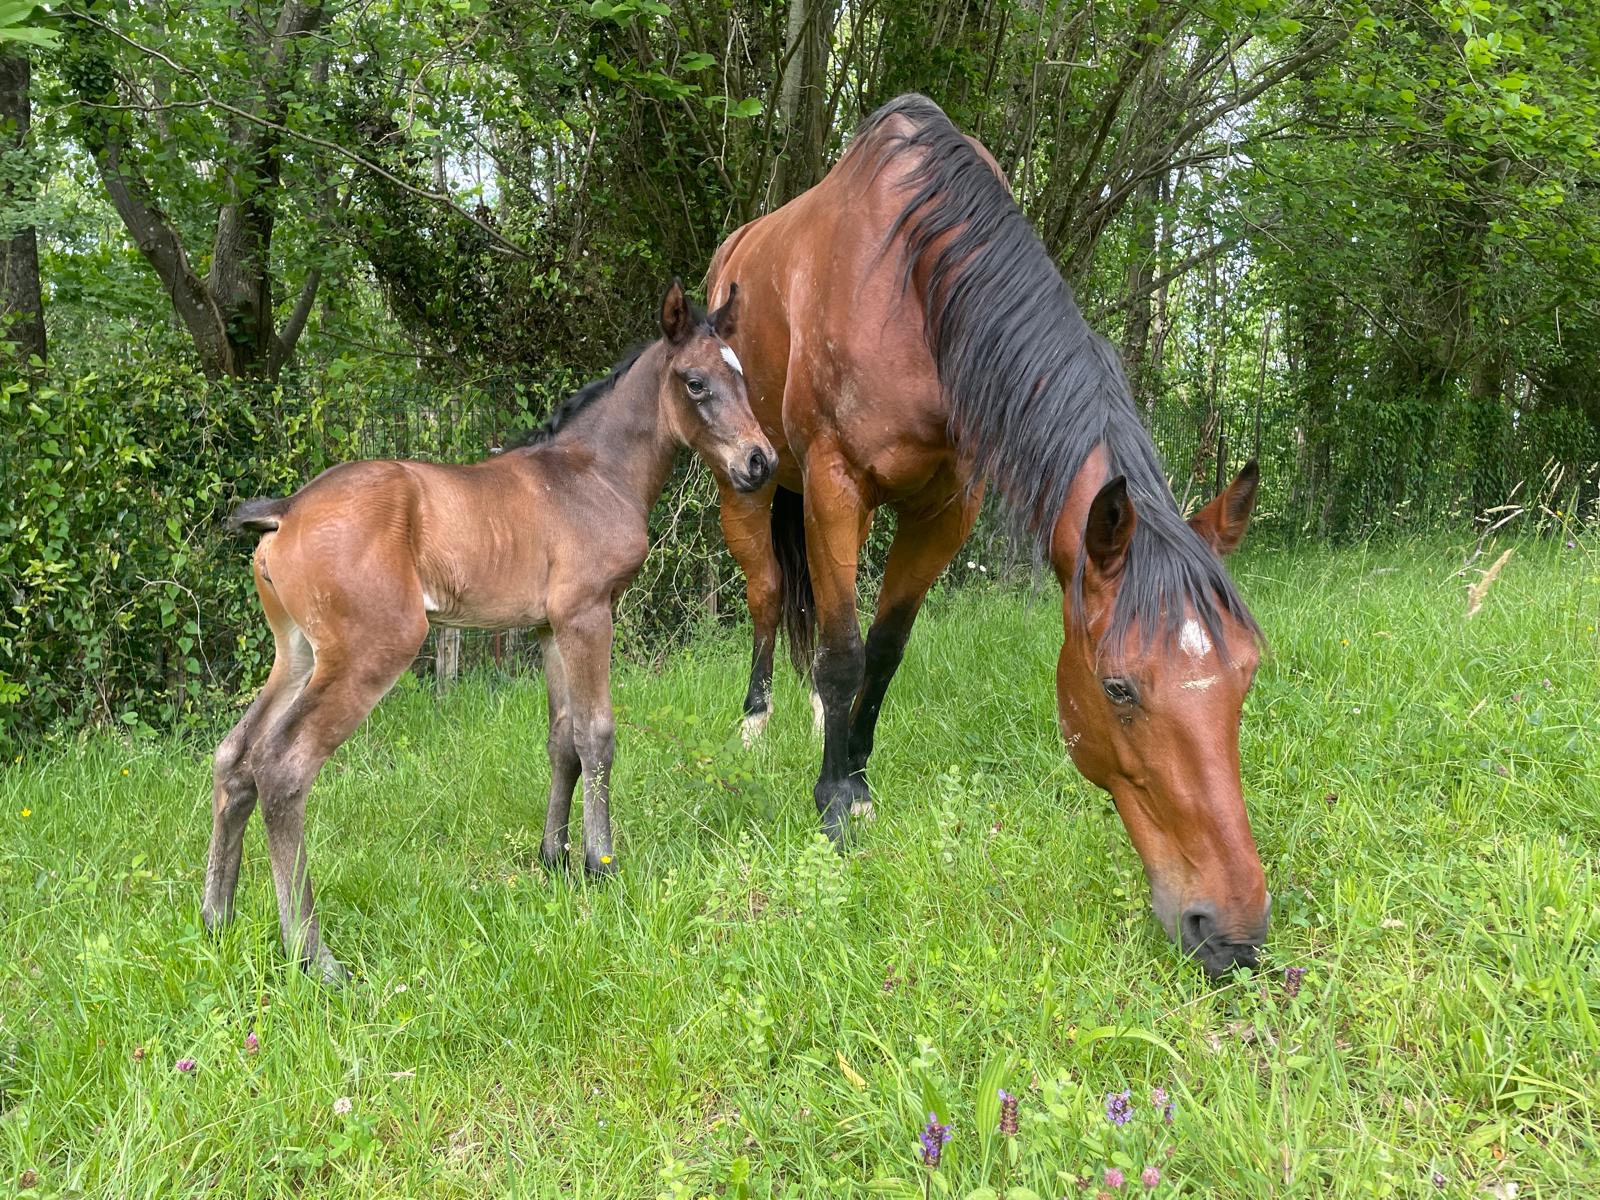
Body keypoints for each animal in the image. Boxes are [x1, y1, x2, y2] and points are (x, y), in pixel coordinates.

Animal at [202, 281, 775, 982]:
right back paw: (315, 957)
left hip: (298, 654)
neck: (593, 472)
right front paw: (602, 866)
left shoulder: (549, 629)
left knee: (236, 757)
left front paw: (555, 858)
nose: (760, 462)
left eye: (742, 377)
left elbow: (562, 739)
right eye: (696, 382)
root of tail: (286, 512)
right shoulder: (589, 614)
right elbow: (597, 735)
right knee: (282, 766)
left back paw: (217, 920)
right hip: (371, 653)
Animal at [704, 95, 1268, 976]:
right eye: (1118, 689)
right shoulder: (835, 486)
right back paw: (756, 724)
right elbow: (843, 654)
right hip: (749, 486)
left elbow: (883, 649)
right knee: (767, 601)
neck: (913, 286)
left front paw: (854, 774)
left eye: (1246, 675)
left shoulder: (946, 508)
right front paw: (833, 808)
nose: (1233, 934)